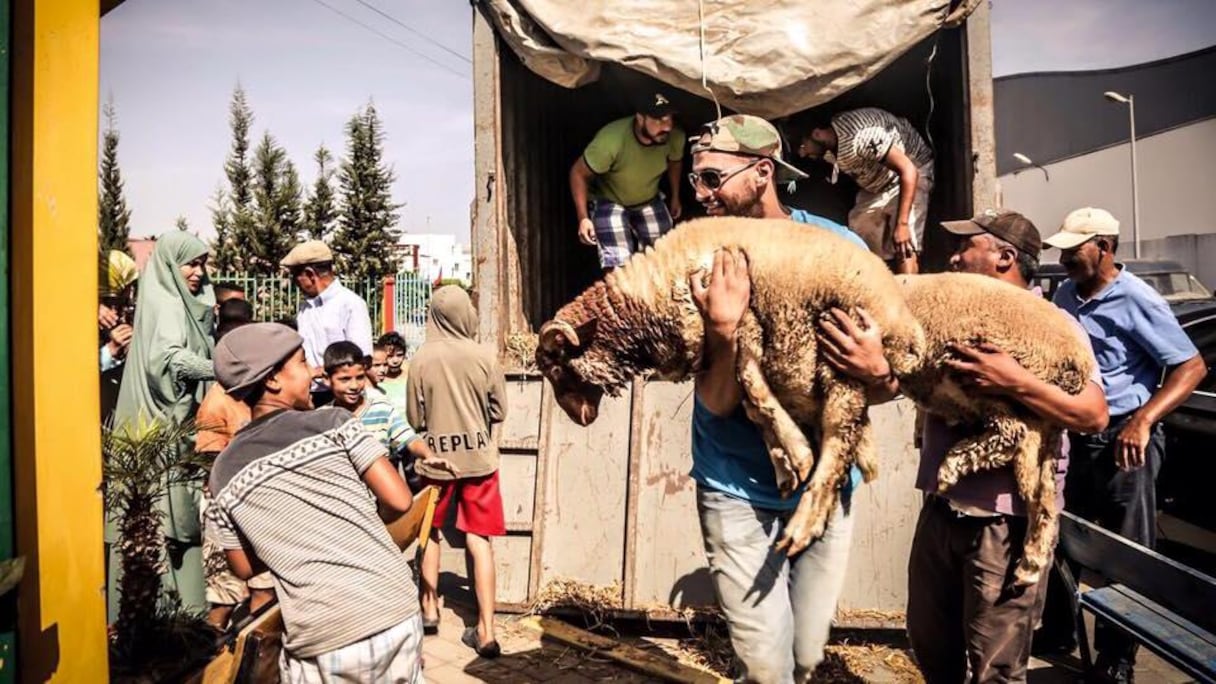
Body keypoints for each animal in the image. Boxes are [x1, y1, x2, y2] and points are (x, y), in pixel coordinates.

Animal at [537, 215, 924, 550]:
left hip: (843, 357)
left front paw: (797, 456)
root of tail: (908, 331)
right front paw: (784, 465)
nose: (579, 418)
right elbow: (752, 407)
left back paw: (802, 526)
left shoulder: (744, 322)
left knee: (836, 443)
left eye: (555, 368)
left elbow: (752, 384)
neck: (647, 301)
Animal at [890, 271, 1099, 586]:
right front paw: (918, 429)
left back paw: (950, 466)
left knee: (1010, 433)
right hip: (1041, 423)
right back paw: (1029, 565)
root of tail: (1078, 363)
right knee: (1041, 492)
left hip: (985, 365)